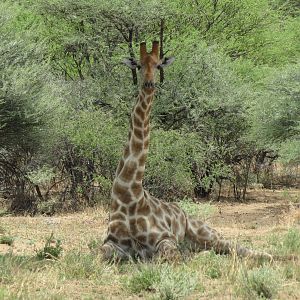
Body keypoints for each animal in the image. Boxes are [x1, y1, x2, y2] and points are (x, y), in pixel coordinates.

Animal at [100, 41, 272, 262]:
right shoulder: (112, 243)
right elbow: (99, 255)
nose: (149, 84)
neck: (128, 193)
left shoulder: (165, 239)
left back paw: (268, 255)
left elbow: (170, 257)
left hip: (205, 232)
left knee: (234, 247)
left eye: (158, 65)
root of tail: (182, 211)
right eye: (138, 65)